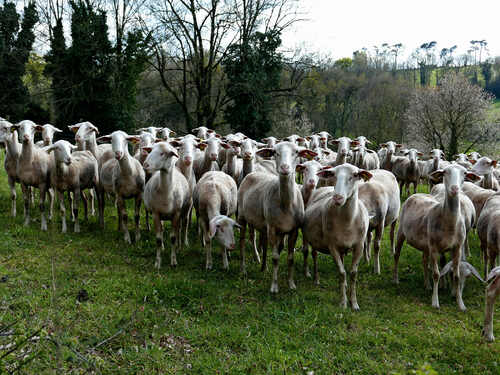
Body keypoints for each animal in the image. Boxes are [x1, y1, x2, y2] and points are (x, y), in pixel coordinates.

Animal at [238, 142, 316, 294]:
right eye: (275, 152)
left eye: (296, 152)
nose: (285, 168)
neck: (286, 203)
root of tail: (252, 173)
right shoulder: (273, 229)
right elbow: (275, 257)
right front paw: (274, 286)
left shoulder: (293, 231)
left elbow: (290, 258)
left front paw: (291, 284)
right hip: (242, 217)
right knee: (243, 242)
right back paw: (243, 269)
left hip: (264, 225)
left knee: (263, 242)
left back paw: (263, 267)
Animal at [302, 166, 374, 310]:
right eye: (333, 175)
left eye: (355, 175)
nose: (337, 197)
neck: (347, 222)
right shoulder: (332, 246)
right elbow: (341, 273)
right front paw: (343, 303)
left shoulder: (359, 246)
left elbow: (352, 273)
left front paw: (354, 303)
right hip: (311, 238)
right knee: (313, 255)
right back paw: (316, 278)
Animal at [392, 164, 482, 312]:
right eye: (445, 172)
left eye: (464, 173)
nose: (454, 189)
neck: (448, 222)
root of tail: (416, 194)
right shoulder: (434, 248)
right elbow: (436, 274)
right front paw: (435, 302)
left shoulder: (457, 248)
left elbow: (456, 275)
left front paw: (460, 304)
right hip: (401, 233)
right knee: (397, 255)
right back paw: (396, 279)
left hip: (425, 243)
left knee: (424, 260)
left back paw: (427, 285)